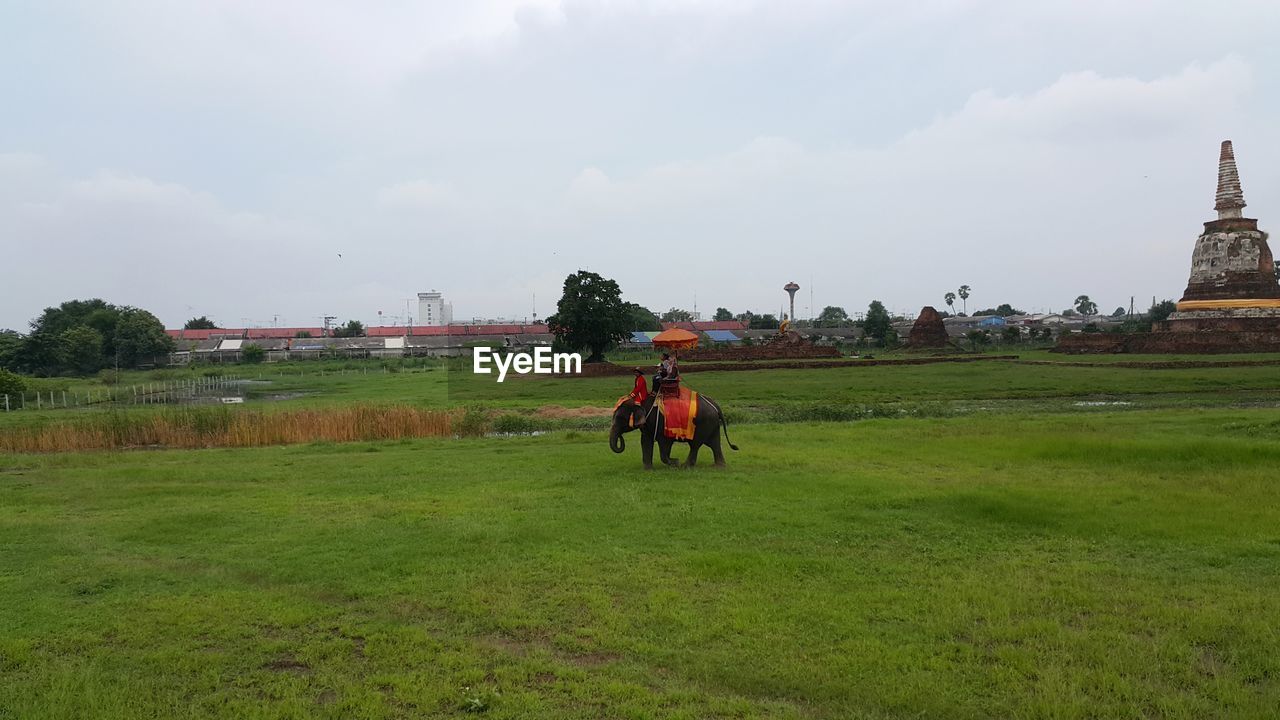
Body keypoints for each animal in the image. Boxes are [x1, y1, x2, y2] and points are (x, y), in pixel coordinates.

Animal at [609, 389, 742, 468]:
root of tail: (715, 405)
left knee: (695, 445)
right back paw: (719, 466)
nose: (620, 436)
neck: (640, 400)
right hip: (712, 424)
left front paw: (674, 462)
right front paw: (648, 469)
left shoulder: (662, 424)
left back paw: (684, 466)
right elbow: (645, 442)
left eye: (620, 418)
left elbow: (665, 445)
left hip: (704, 424)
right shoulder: (648, 426)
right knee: (714, 444)